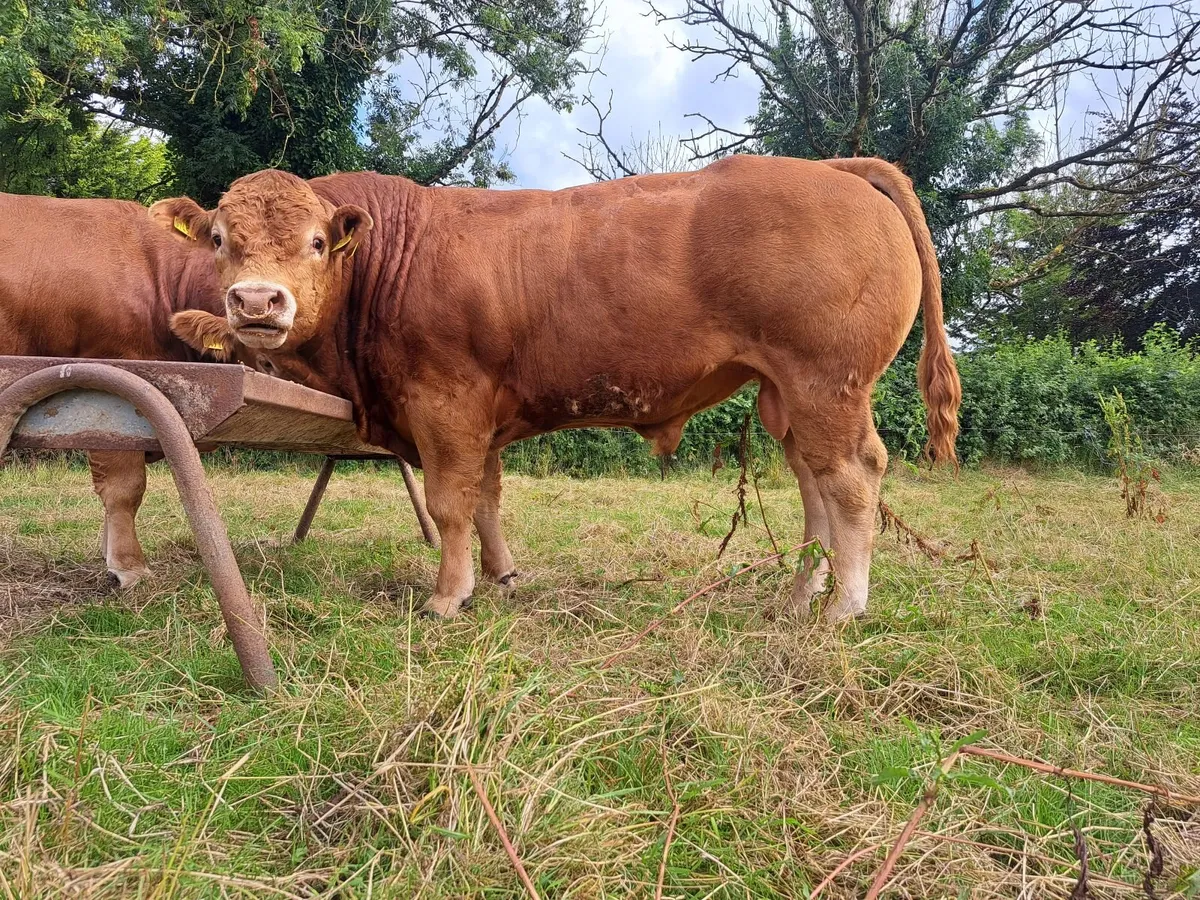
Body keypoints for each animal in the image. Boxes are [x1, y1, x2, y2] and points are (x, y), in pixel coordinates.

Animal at [153, 155, 962, 620]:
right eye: (220, 240)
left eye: (317, 243)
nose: (257, 302)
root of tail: (833, 166)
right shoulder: (479, 415)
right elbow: (484, 498)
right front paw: (500, 576)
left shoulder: (446, 403)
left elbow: (449, 504)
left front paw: (447, 597)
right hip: (786, 395)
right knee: (812, 482)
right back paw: (797, 596)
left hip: (827, 384)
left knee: (852, 478)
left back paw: (843, 607)